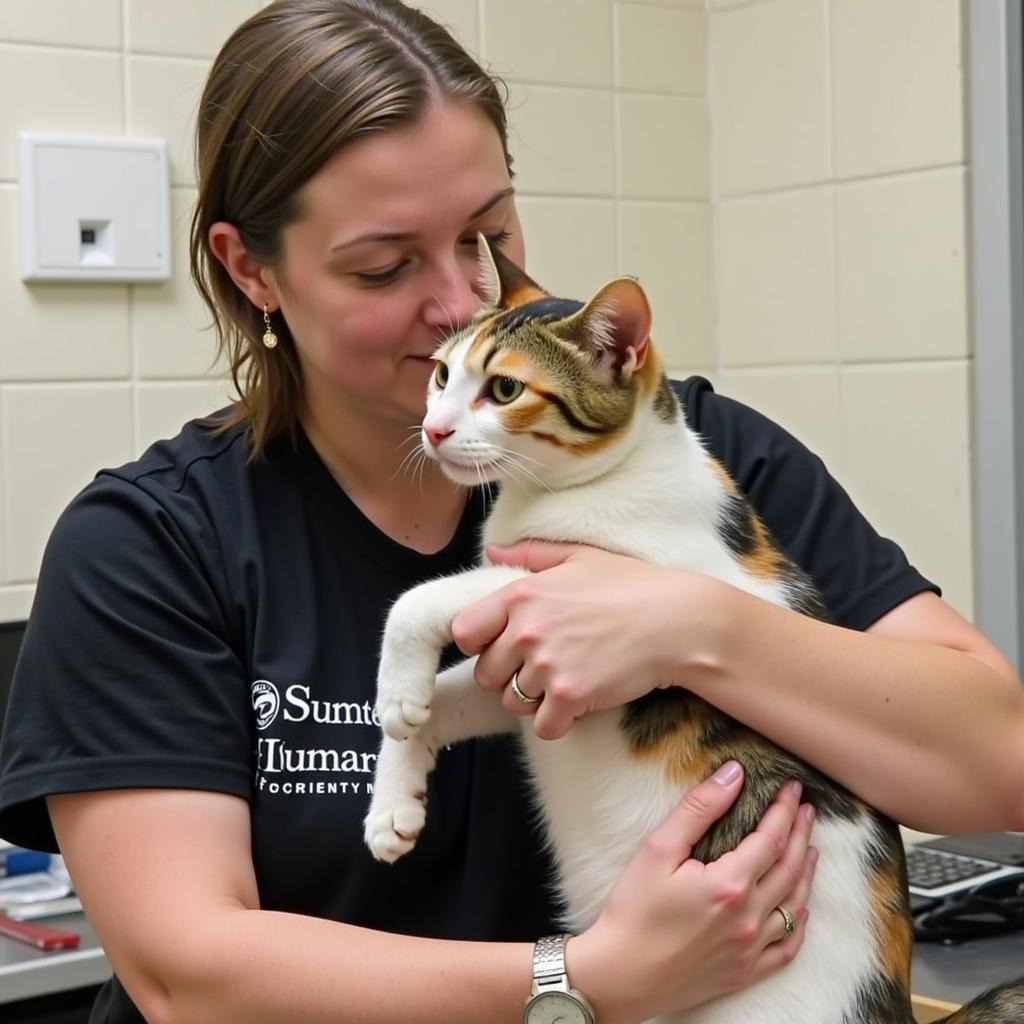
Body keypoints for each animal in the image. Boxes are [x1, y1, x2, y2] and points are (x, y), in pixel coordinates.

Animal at [364, 237, 1019, 1024]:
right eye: (441, 374)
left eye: (505, 390)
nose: (433, 428)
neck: (572, 488)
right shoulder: (515, 671)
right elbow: (452, 699)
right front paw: (395, 798)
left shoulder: (596, 586)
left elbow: (419, 597)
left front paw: (396, 691)